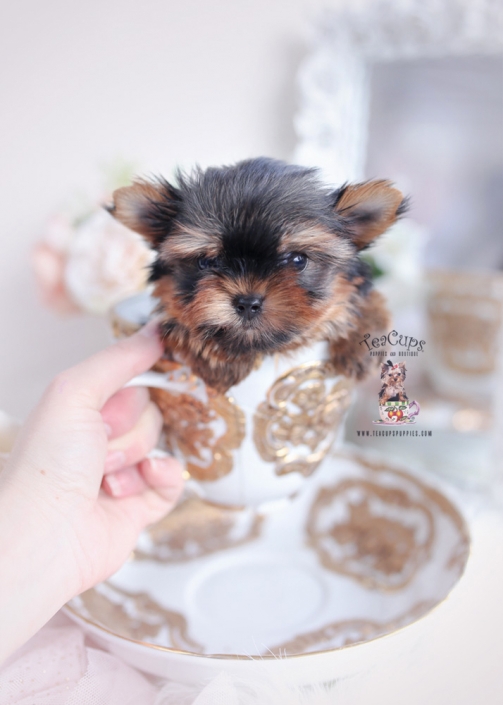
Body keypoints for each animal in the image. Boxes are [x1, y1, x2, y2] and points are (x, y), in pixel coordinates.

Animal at [108, 156, 408, 394]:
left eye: (298, 260)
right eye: (206, 262)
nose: (247, 303)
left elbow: (367, 300)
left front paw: (362, 347)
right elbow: (178, 326)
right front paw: (218, 361)